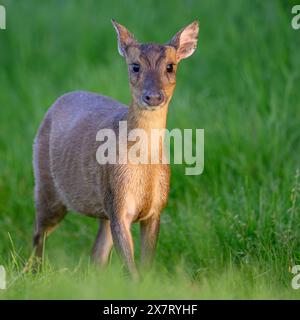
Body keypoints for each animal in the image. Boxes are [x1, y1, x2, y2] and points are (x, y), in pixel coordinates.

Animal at [32, 19, 198, 278]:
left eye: (170, 67)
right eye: (135, 66)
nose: (153, 96)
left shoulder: (155, 208)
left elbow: (145, 265)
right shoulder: (118, 202)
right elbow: (131, 269)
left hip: (102, 209)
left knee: (96, 255)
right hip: (47, 185)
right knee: (38, 233)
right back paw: (33, 273)